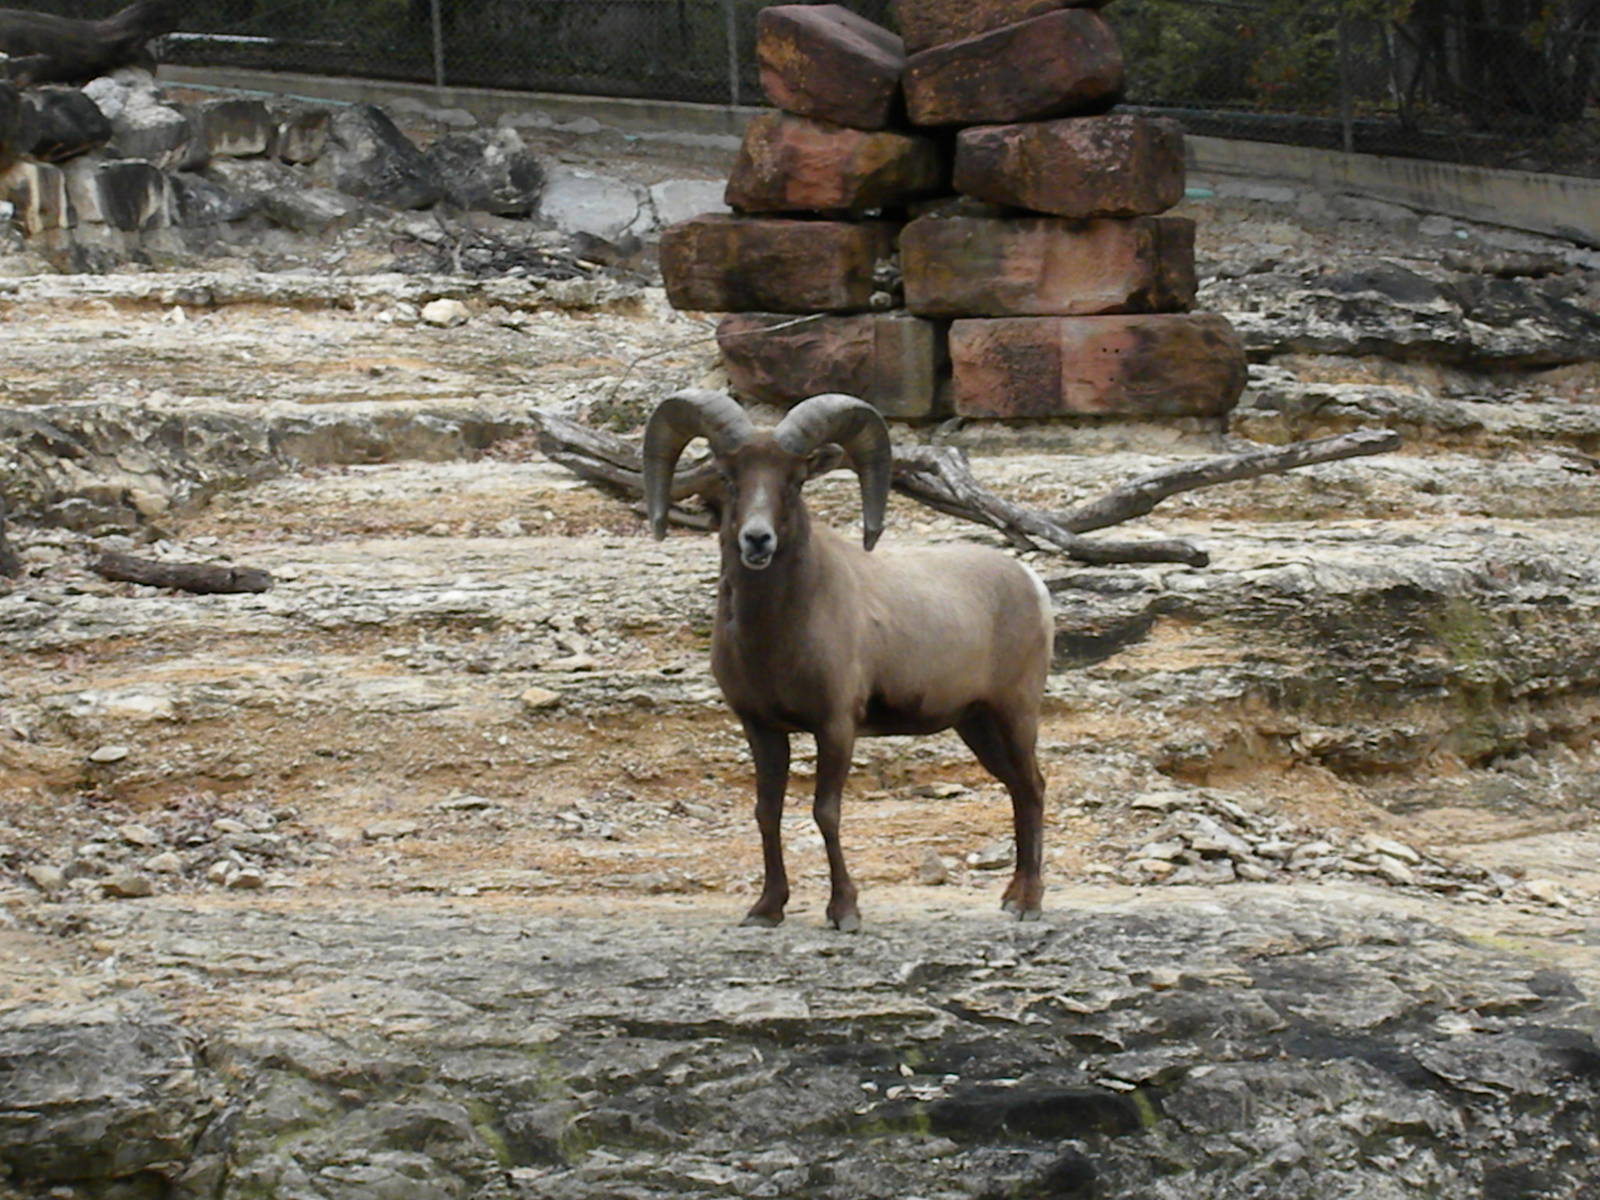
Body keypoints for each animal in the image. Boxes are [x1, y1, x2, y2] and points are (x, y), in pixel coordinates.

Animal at [643, 390, 1054, 930]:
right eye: (730, 478)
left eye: (795, 481)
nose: (757, 540)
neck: (775, 635)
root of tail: (1032, 585)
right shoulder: (761, 727)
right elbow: (767, 812)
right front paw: (766, 909)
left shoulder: (836, 726)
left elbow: (826, 812)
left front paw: (844, 912)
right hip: (976, 725)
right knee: (1017, 789)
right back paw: (1012, 898)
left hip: (1015, 714)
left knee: (1032, 788)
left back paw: (1027, 903)